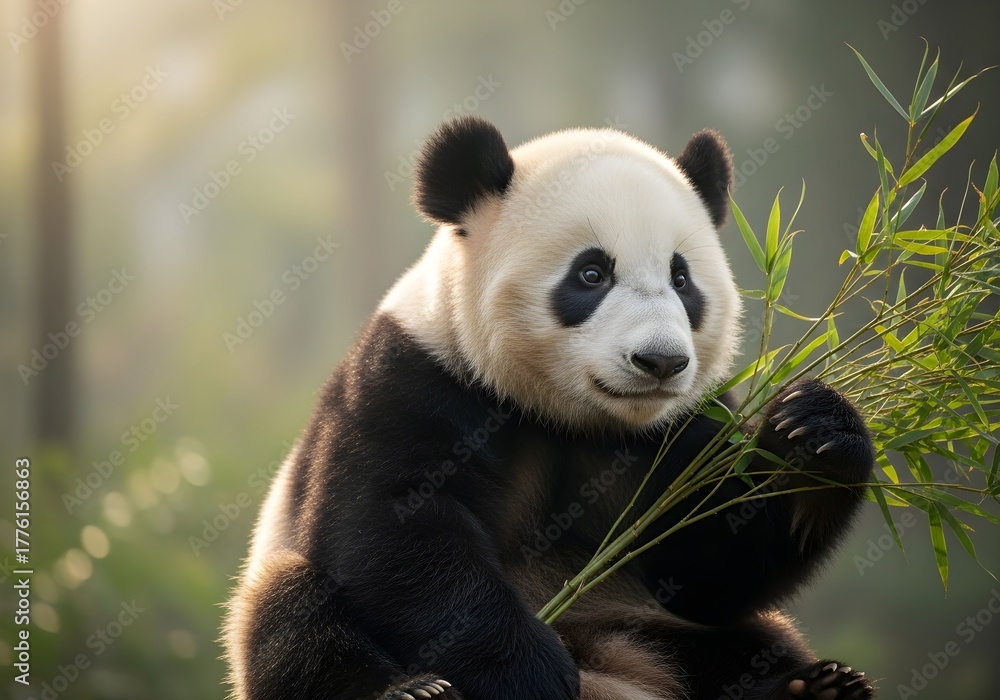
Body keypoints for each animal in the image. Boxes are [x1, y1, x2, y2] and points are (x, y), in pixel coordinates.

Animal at [224, 116, 877, 700]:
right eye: (591, 273)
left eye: (682, 279)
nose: (661, 362)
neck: (571, 419)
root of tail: (616, 670)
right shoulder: (414, 376)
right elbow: (398, 527)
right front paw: (528, 675)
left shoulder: (690, 422)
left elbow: (710, 563)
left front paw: (813, 432)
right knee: (293, 617)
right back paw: (410, 692)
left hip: (643, 624)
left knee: (747, 646)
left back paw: (814, 688)